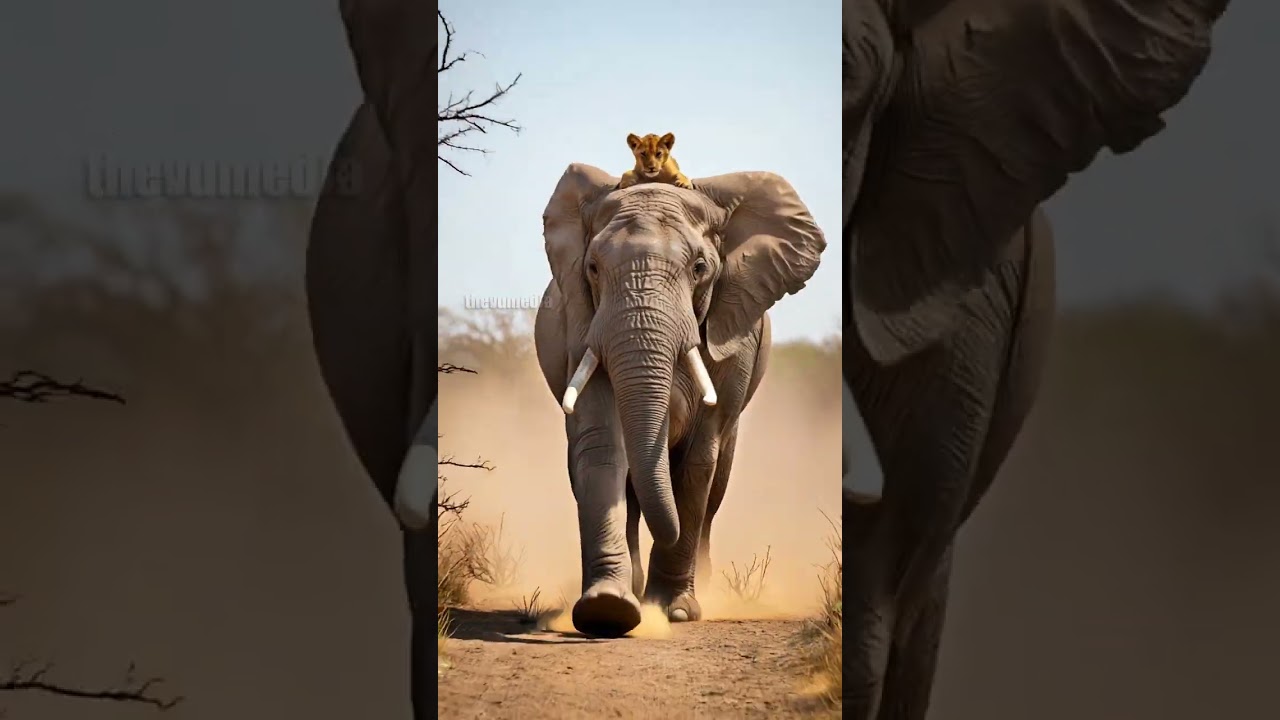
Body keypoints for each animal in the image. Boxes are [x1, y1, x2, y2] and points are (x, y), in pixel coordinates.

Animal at [534, 164, 827, 637]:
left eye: (700, 268)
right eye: (592, 268)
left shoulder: (735, 336)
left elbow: (697, 460)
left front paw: (675, 611)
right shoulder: (581, 327)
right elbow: (601, 444)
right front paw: (608, 609)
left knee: (714, 484)